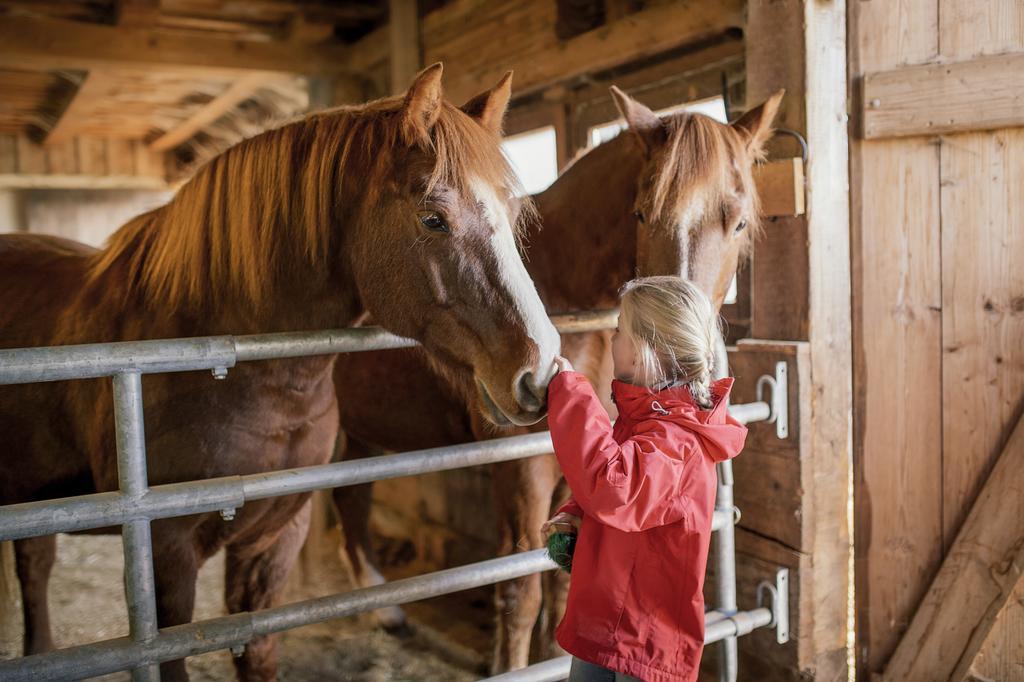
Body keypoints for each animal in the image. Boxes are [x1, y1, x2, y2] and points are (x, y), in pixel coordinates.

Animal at [0, 65, 561, 679]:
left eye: (513, 216)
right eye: (433, 218)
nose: (538, 371)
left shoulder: (275, 535)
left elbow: (259, 652)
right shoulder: (165, 556)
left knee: (34, 562)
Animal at [327, 86, 782, 667]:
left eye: (739, 223)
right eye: (640, 214)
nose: (679, 351)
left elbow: (563, 580)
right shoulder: (522, 467)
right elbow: (519, 586)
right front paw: (509, 665)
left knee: (351, 499)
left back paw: (384, 609)